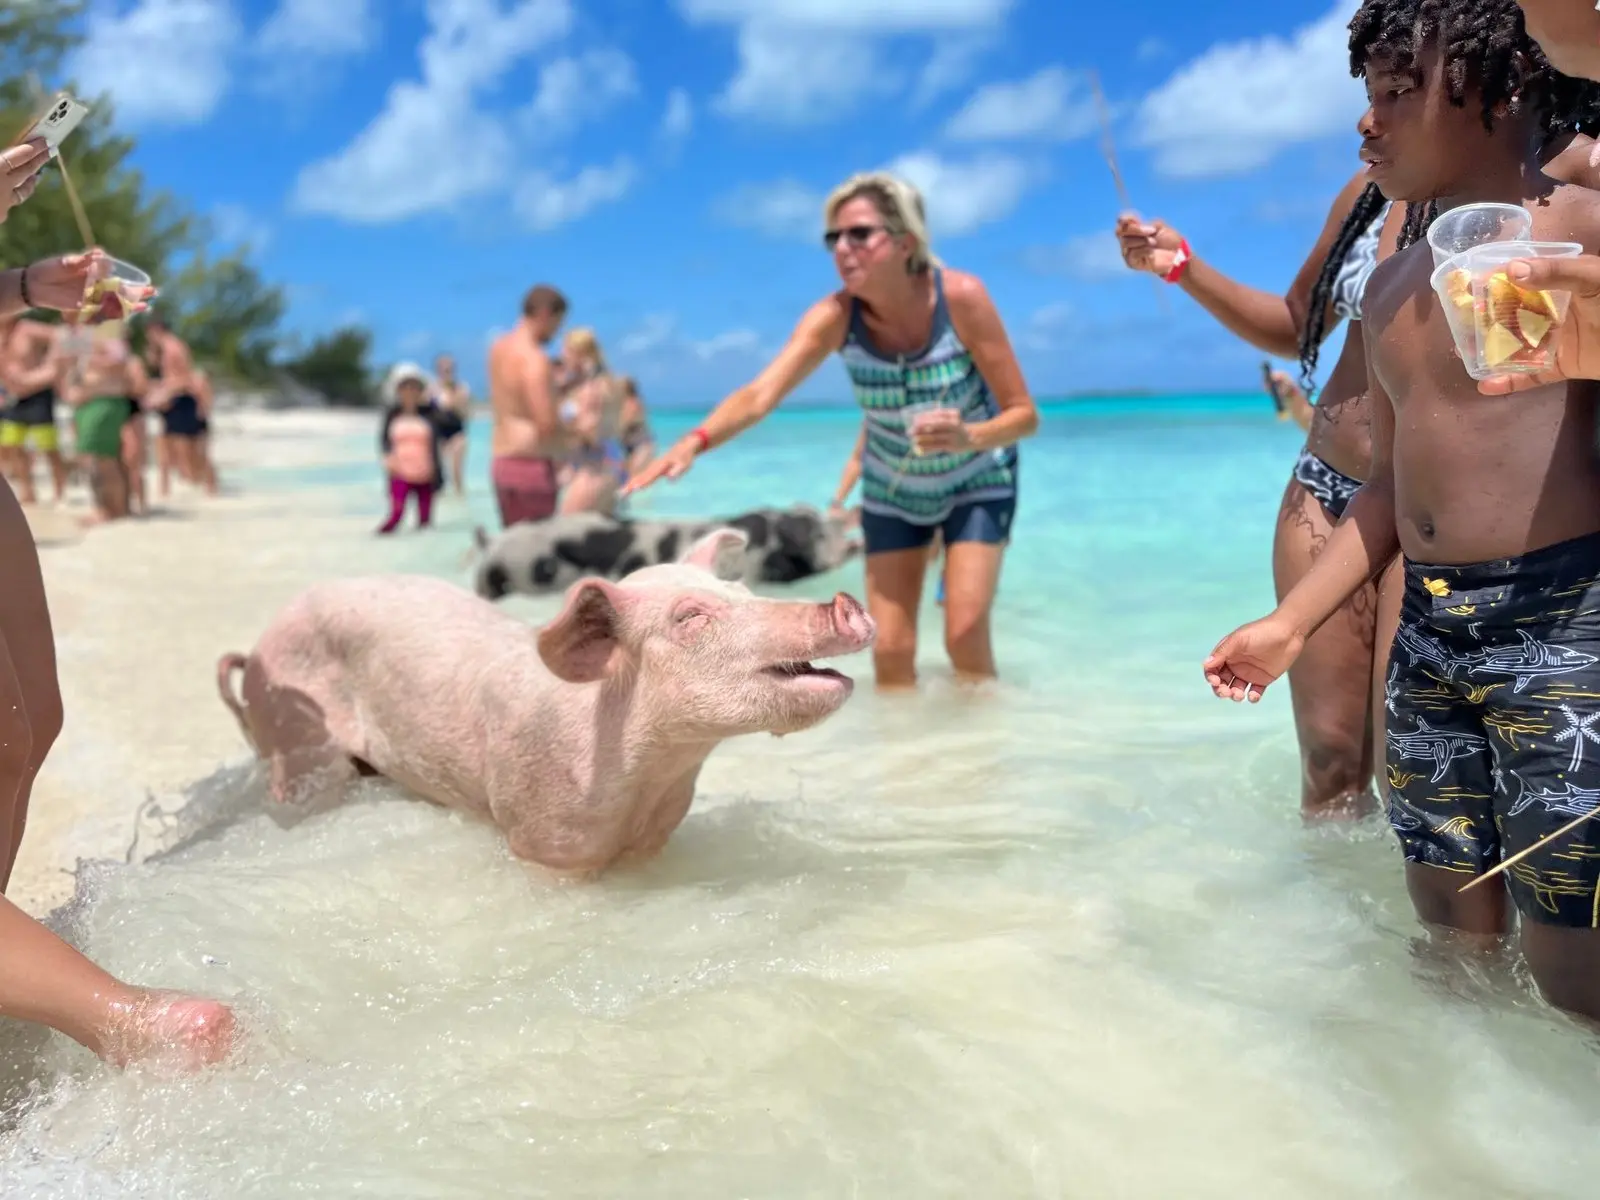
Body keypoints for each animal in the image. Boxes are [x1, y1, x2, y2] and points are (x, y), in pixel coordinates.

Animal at [214, 528, 875, 876]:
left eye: (741, 589)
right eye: (690, 616)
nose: (846, 602)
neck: (650, 777)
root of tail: (259, 647)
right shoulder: (539, 839)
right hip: (297, 739)